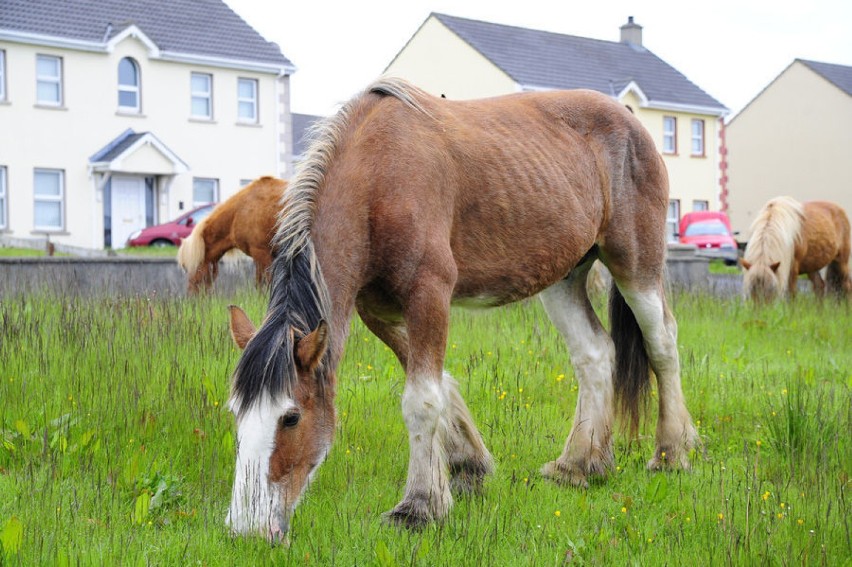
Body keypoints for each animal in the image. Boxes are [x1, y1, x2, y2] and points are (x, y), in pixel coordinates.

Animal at [223, 77, 696, 544]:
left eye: (290, 418)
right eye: (236, 413)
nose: (246, 529)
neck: (378, 176)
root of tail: (630, 121)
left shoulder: (429, 293)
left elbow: (421, 399)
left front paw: (419, 506)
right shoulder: (377, 311)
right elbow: (439, 384)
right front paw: (467, 465)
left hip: (636, 265)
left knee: (662, 344)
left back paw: (671, 452)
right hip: (564, 278)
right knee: (594, 354)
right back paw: (579, 464)